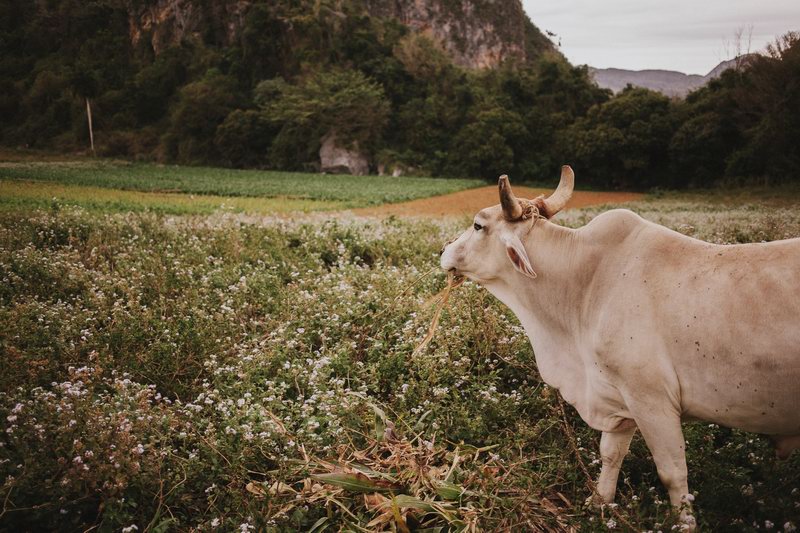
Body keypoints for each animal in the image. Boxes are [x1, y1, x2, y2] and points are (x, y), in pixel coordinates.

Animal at [438, 167, 800, 528]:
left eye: (478, 225)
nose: (444, 249)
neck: (584, 285)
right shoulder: (618, 397)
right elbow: (611, 454)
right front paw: (598, 503)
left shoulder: (652, 400)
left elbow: (673, 474)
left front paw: (684, 524)